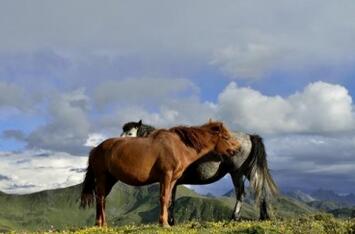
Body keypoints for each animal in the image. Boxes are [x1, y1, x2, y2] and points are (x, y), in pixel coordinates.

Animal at [80, 121, 241, 228]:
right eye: (226, 137)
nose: (238, 150)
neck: (178, 146)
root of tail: (96, 149)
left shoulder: (173, 180)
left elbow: (168, 200)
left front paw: (165, 222)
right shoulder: (166, 176)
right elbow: (163, 198)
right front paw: (164, 224)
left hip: (111, 179)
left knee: (102, 199)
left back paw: (101, 224)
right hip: (102, 177)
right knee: (100, 198)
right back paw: (101, 224)